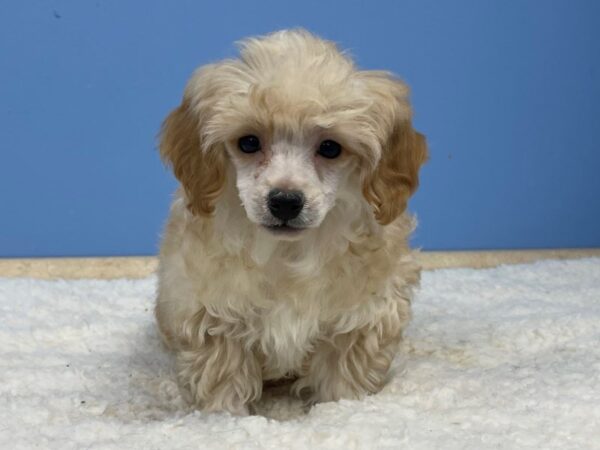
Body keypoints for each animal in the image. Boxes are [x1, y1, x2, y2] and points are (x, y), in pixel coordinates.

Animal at [155, 29, 426, 414]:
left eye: (330, 148)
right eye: (248, 142)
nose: (284, 201)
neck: (286, 253)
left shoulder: (361, 315)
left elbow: (343, 374)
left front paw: (344, 410)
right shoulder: (212, 312)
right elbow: (223, 374)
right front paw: (225, 416)